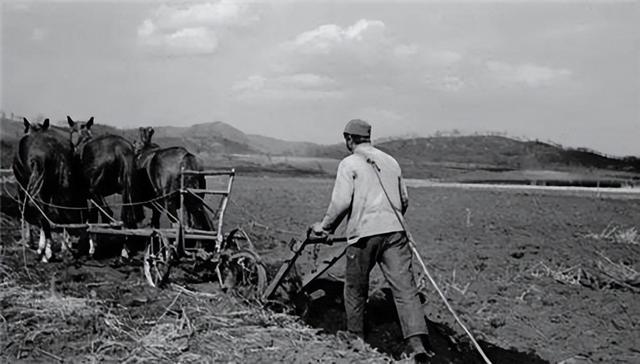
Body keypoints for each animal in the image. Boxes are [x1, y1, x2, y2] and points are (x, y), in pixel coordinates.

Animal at [12, 118, 84, 260]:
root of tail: (57, 151)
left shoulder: (22, 186)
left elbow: (25, 211)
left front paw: (30, 242)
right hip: (66, 188)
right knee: (64, 213)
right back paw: (65, 248)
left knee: (41, 213)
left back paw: (46, 251)